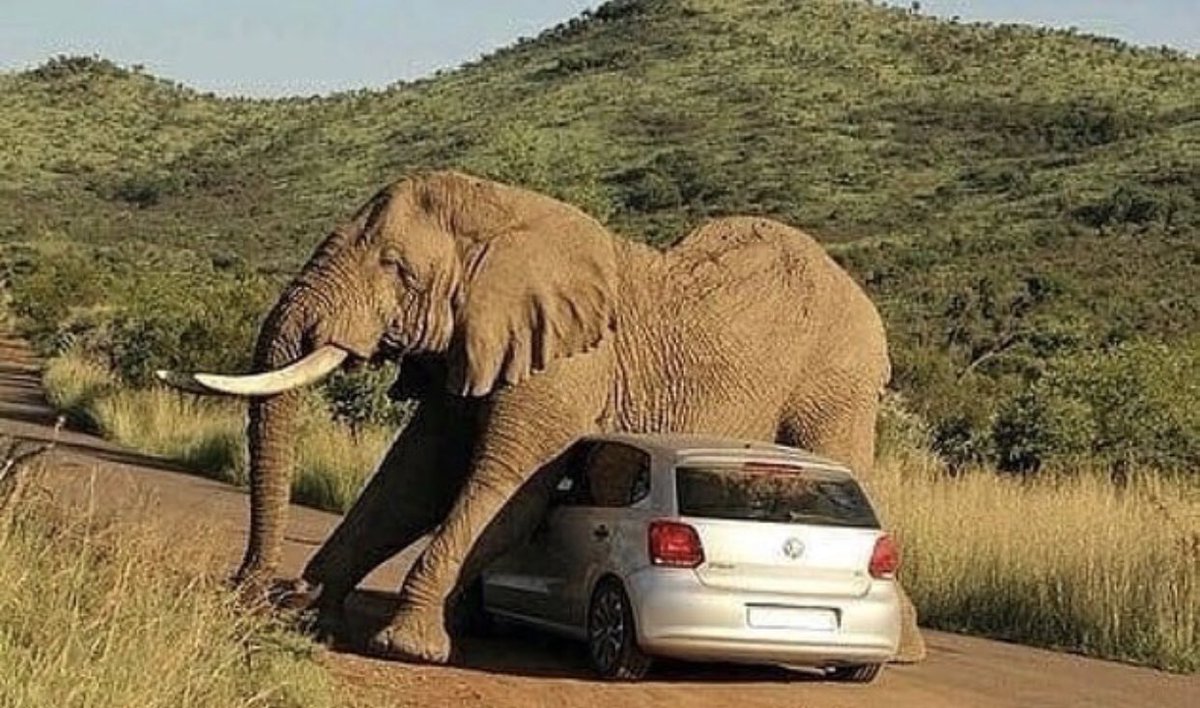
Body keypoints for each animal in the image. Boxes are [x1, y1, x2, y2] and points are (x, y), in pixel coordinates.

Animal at [158, 170, 926, 664]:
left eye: (397, 268)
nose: (248, 587)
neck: (509, 216)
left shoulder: (567, 364)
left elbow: (507, 489)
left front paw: (406, 645)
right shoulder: (476, 343)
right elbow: (412, 483)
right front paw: (307, 611)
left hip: (837, 376)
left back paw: (906, 649)